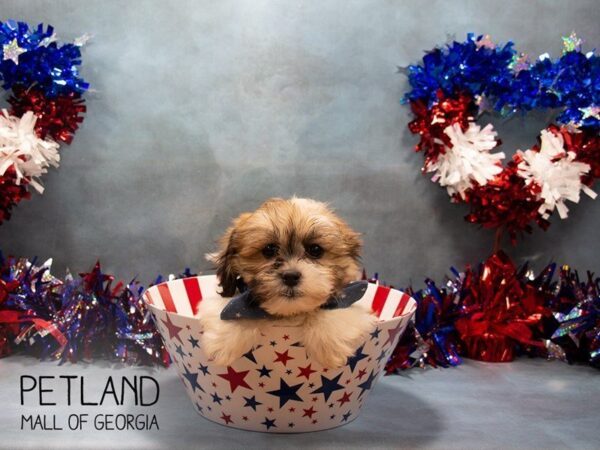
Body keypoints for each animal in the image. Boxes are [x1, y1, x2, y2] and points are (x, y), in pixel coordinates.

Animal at [198, 199, 376, 368]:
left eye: (315, 250)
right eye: (269, 250)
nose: (290, 276)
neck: (289, 313)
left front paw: (329, 343)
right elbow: (235, 309)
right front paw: (224, 341)